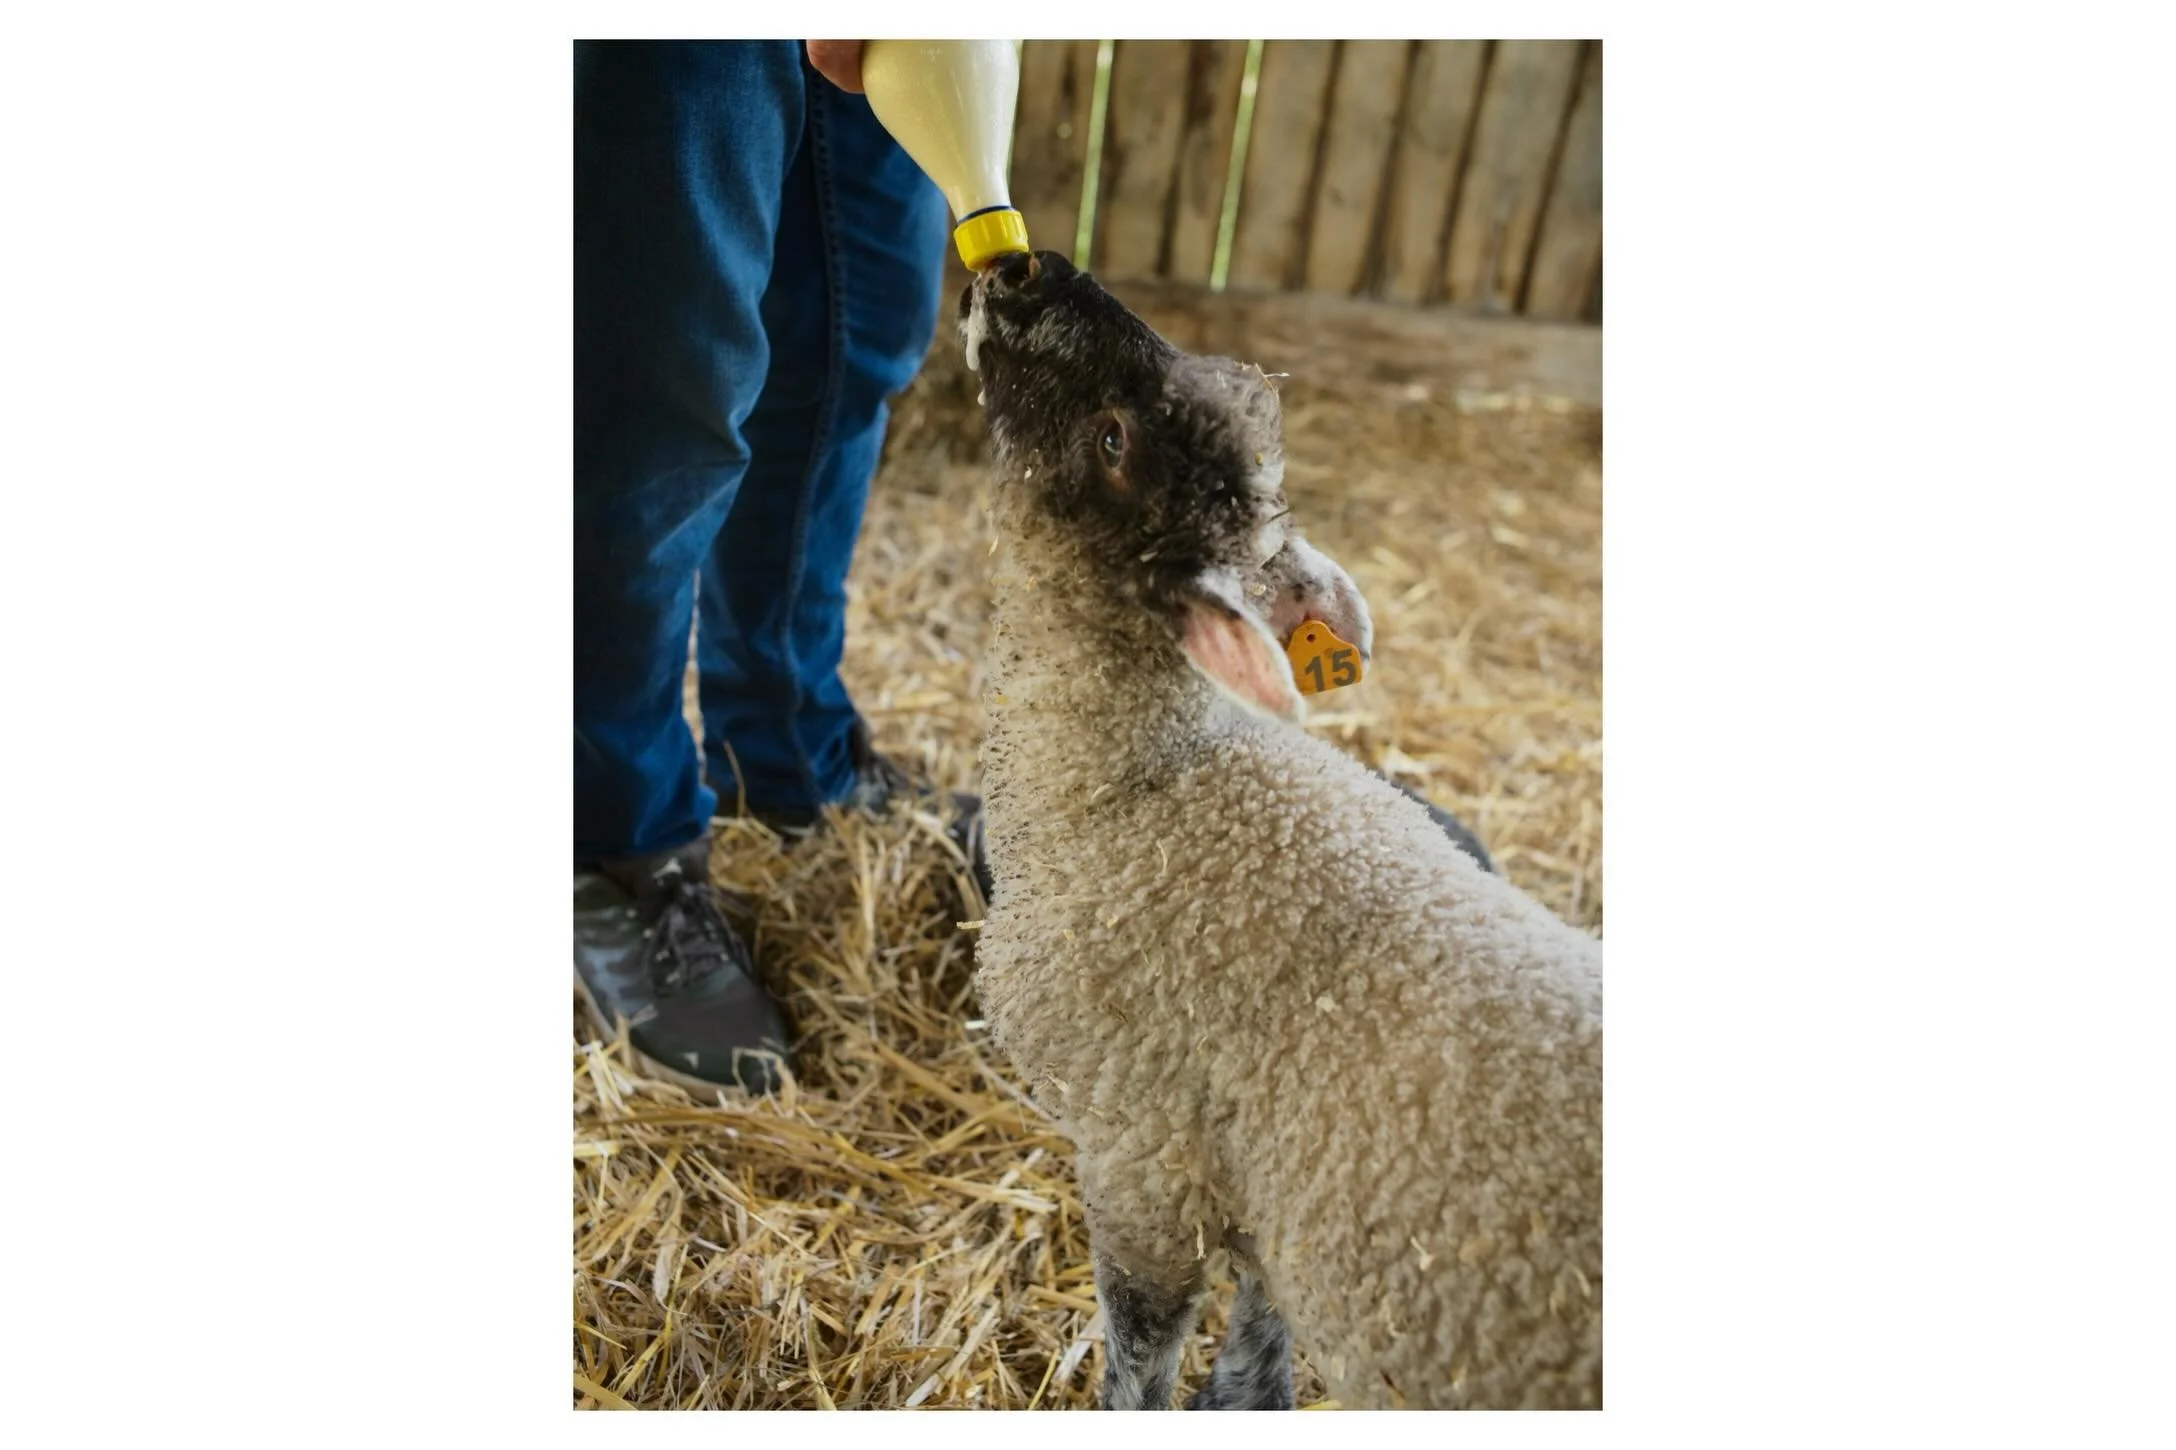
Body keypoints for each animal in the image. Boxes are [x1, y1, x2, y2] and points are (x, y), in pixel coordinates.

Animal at [957, 250, 1604, 1411]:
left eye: (1114, 441)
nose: (1029, 269)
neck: (1133, 792)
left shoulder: (1141, 1154)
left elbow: (1141, 1354)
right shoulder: (1269, 1177)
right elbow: (1259, 1335)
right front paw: (1247, 1401)